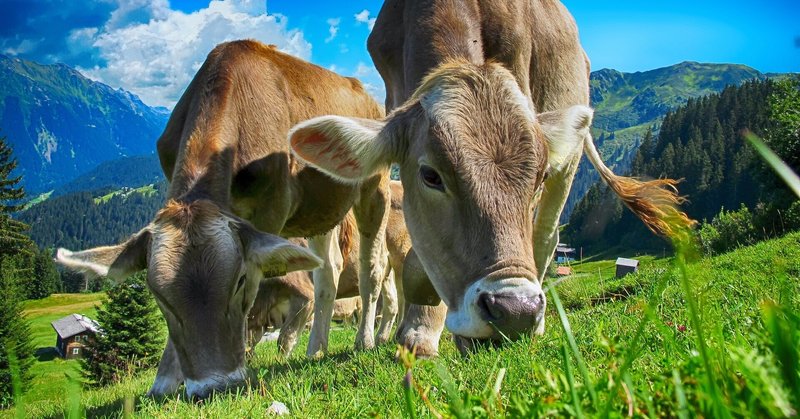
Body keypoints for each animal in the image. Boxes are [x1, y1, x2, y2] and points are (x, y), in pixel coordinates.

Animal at [51, 41, 390, 398]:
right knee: (329, 271)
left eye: (239, 281)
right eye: (158, 296)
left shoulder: (270, 211)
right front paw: (165, 381)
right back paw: (316, 348)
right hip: (319, 210)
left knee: (372, 267)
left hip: (374, 188)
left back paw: (364, 340)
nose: (213, 386)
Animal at [288, 0, 692, 358]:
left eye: (537, 177)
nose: (516, 312)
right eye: (430, 175)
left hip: (570, 152)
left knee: (546, 235)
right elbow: (419, 257)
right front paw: (419, 330)